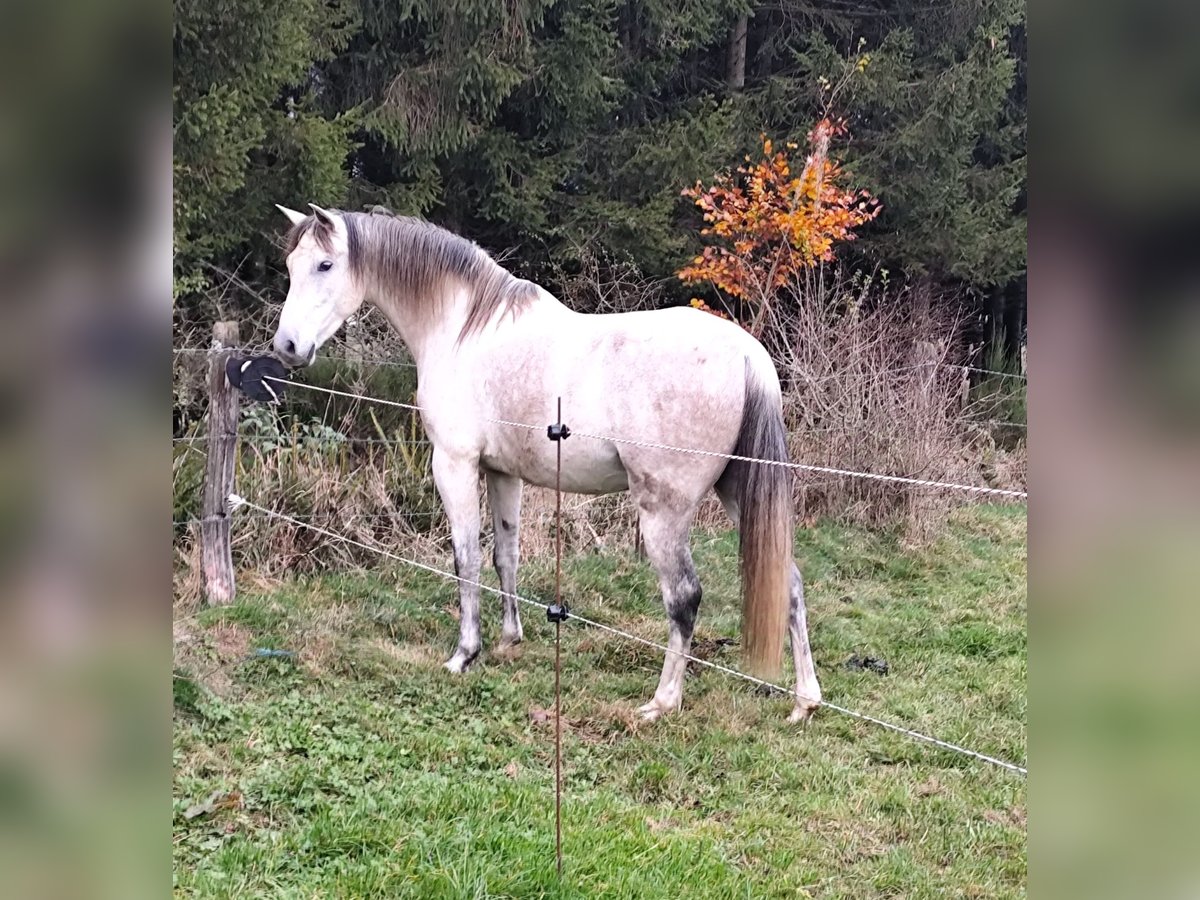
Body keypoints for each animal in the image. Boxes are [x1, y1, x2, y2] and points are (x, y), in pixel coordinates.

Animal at [270, 206, 825, 724]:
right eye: (290, 266)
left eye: (324, 265)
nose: (287, 348)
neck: (463, 328)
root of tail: (749, 356)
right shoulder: (502, 472)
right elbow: (505, 556)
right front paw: (508, 638)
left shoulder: (454, 465)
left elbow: (466, 559)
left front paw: (463, 654)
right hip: (739, 494)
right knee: (791, 584)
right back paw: (804, 702)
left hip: (663, 512)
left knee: (684, 597)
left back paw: (661, 702)